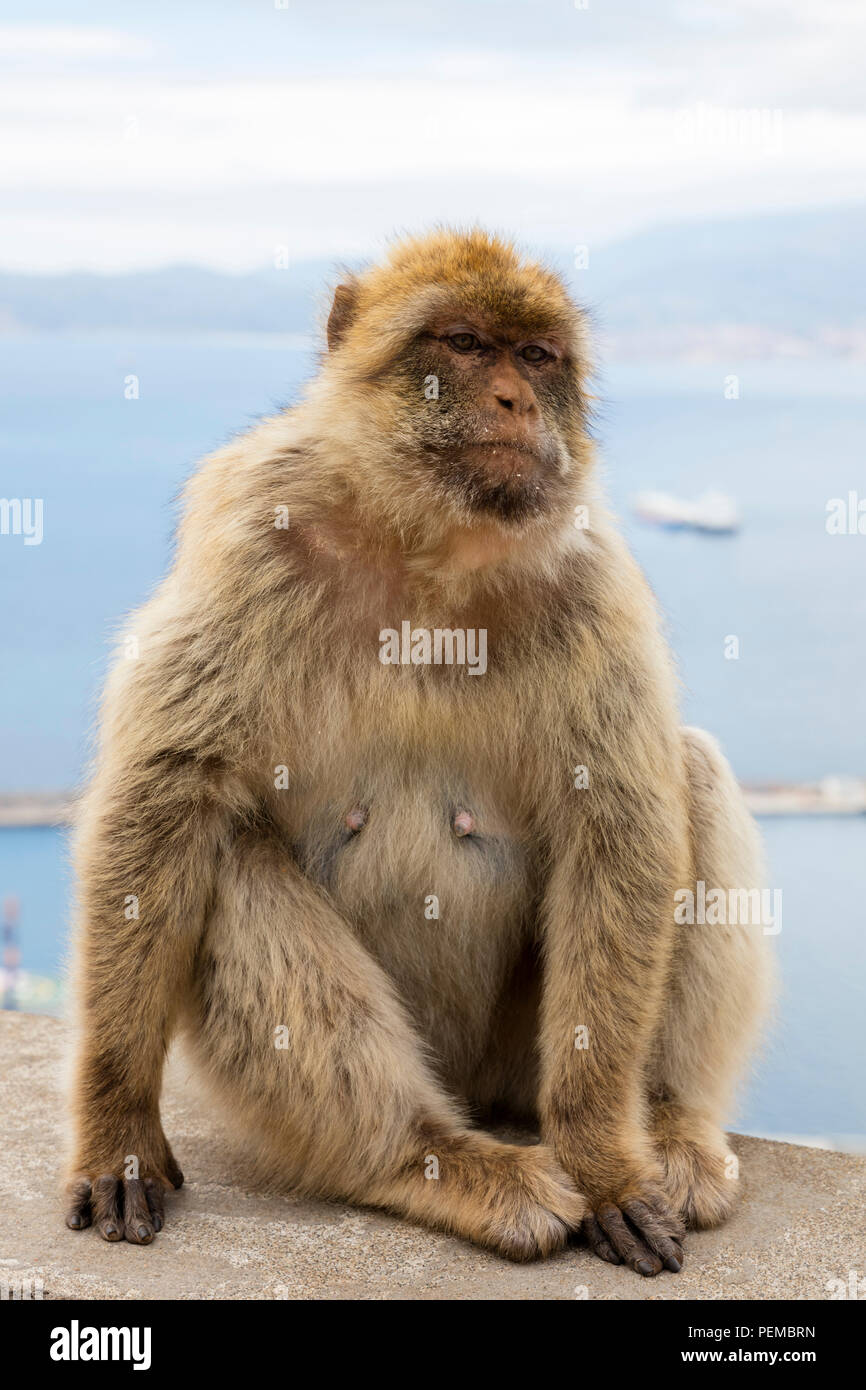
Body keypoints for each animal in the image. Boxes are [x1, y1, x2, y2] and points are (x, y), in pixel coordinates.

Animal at [63, 228, 774, 1275]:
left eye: (537, 356)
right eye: (467, 343)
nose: (518, 400)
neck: (431, 544)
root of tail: (478, 1098)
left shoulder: (590, 577)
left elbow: (619, 827)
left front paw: (605, 1159)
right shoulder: (252, 533)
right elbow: (165, 799)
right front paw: (117, 1128)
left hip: (520, 1054)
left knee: (690, 771)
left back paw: (668, 1125)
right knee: (229, 851)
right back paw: (429, 1160)